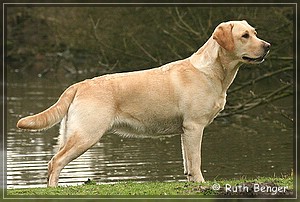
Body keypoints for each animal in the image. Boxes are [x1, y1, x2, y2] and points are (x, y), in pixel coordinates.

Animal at [17, 19, 270, 187]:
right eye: (244, 36)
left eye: (255, 33)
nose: (267, 46)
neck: (213, 72)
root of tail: (80, 84)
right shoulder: (194, 126)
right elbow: (196, 160)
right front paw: (200, 183)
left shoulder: (185, 131)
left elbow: (188, 162)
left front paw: (190, 182)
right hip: (86, 135)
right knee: (56, 162)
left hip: (71, 134)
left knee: (52, 162)